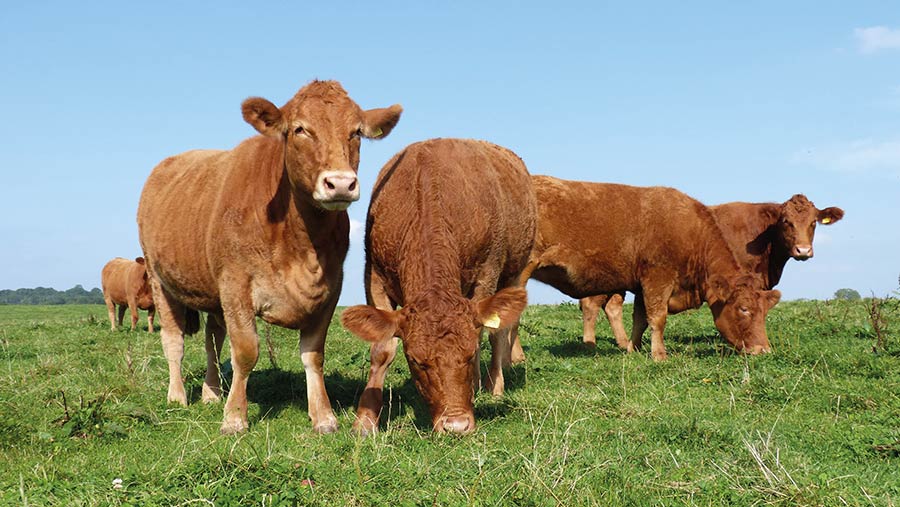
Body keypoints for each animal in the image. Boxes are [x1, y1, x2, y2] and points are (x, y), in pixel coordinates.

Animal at [136, 80, 400, 436]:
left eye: (356, 132)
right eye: (300, 129)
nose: (341, 183)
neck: (301, 243)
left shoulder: (332, 286)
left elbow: (313, 354)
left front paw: (323, 416)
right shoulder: (236, 283)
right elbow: (246, 351)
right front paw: (235, 417)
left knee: (213, 339)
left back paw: (211, 393)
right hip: (159, 277)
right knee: (174, 340)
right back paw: (177, 396)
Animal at [338, 139, 536, 436]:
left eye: (469, 355)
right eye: (416, 361)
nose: (456, 425)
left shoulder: (488, 273)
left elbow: (484, 332)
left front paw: (478, 385)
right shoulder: (373, 276)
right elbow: (382, 349)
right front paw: (365, 420)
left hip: (516, 271)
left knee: (499, 332)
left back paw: (493, 385)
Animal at [524, 177, 784, 364]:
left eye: (765, 311)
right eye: (744, 309)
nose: (763, 350)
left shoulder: (642, 287)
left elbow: (640, 318)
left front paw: (634, 349)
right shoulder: (658, 279)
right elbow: (657, 318)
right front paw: (659, 355)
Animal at [576, 196, 844, 352]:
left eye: (813, 223)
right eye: (786, 222)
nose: (803, 250)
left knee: (611, 306)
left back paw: (622, 343)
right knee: (591, 304)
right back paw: (590, 345)